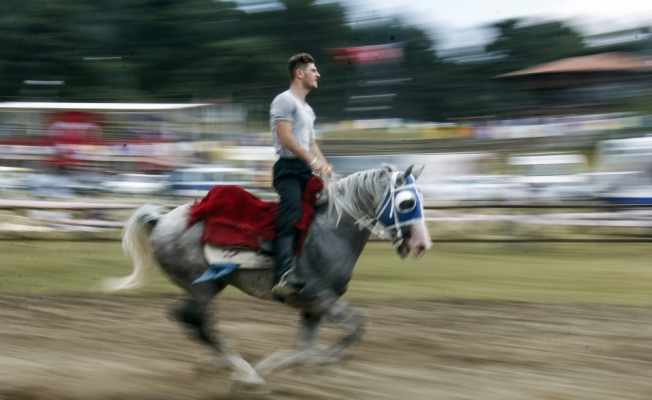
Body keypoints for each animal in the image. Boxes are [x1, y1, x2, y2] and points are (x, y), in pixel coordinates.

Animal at [104, 164, 430, 392]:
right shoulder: (320, 298)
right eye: (406, 203)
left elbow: (309, 347)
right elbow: (349, 331)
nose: (422, 245)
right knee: (196, 321)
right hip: (203, 286)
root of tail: (161, 220)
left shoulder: (314, 308)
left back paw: (222, 363)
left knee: (193, 321)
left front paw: (307, 363)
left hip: (207, 285)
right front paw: (265, 371)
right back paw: (245, 373)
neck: (332, 232)